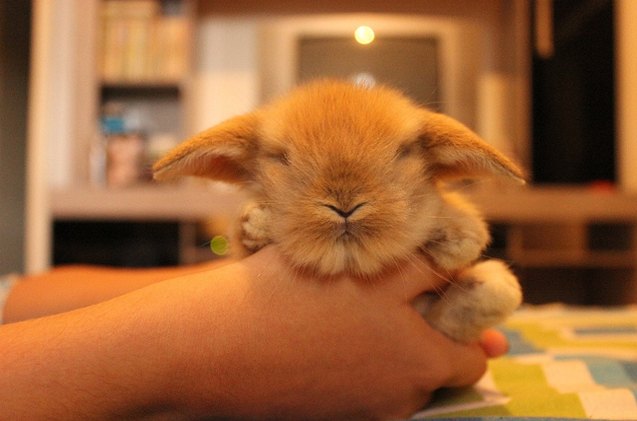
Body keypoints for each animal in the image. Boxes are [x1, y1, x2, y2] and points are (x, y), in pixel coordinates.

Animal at [154, 79, 520, 342]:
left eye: (403, 152)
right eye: (281, 157)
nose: (345, 206)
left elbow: (498, 292)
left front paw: (461, 234)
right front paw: (256, 222)